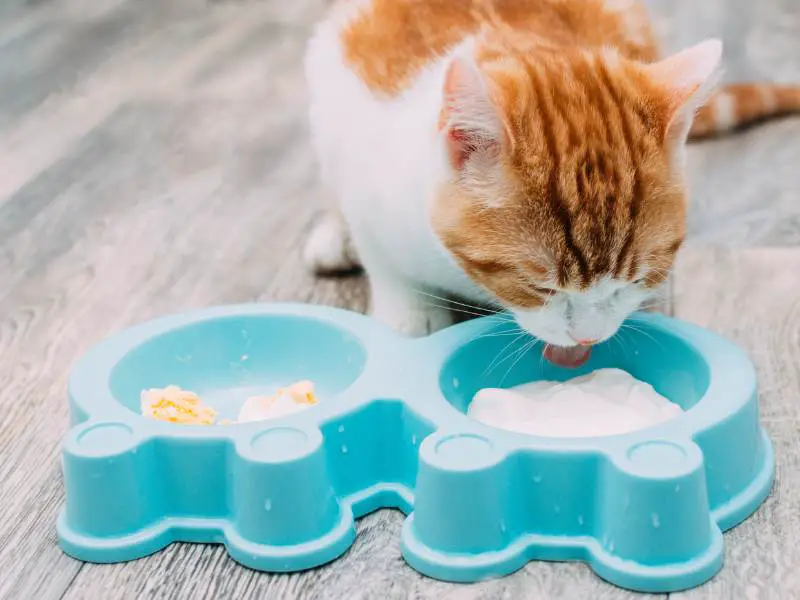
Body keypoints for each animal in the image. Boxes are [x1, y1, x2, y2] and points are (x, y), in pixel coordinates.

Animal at [304, 0, 800, 366]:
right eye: (539, 286)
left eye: (635, 279)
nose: (587, 338)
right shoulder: (362, 165)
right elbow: (380, 255)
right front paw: (409, 315)